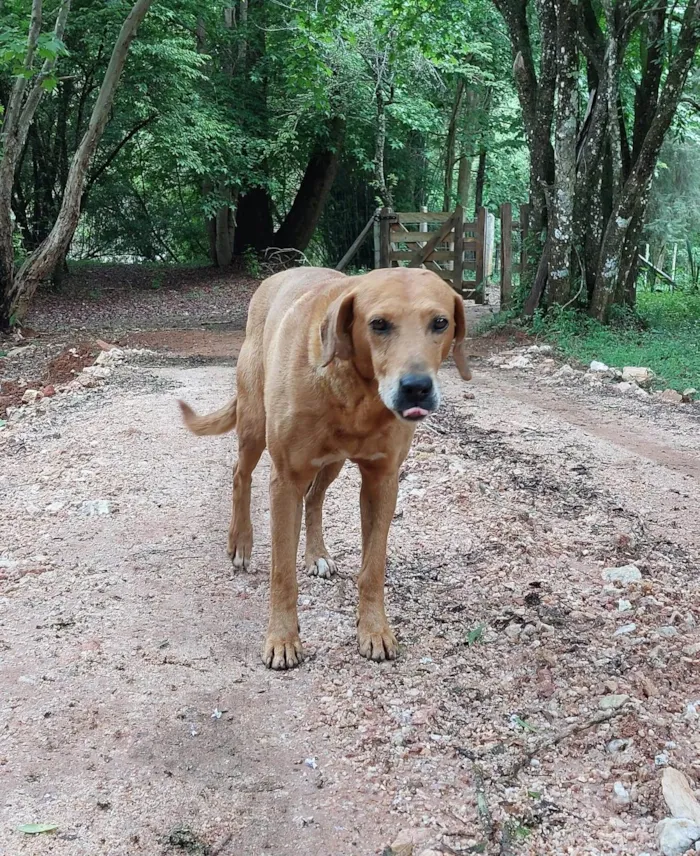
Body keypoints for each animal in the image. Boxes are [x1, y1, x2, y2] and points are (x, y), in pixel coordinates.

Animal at [180, 266, 470, 668]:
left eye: (440, 322)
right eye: (379, 324)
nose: (416, 388)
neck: (357, 397)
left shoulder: (382, 481)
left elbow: (373, 567)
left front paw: (374, 630)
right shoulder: (285, 480)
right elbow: (282, 572)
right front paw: (282, 640)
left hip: (332, 462)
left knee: (315, 498)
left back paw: (316, 554)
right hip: (254, 422)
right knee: (241, 475)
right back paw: (240, 542)